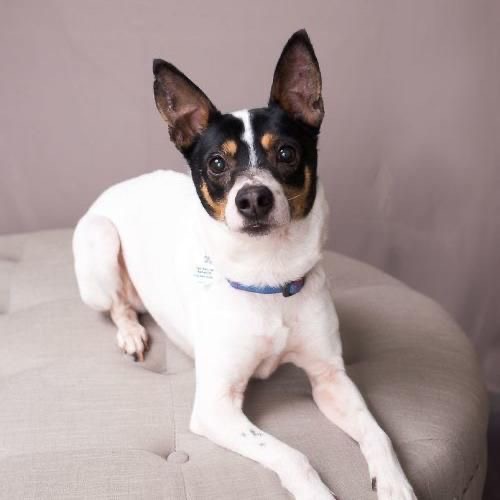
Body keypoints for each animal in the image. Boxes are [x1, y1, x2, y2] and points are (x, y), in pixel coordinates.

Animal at [73, 31, 418, 500]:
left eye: (287, 153)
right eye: (217, 162)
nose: (253, 198)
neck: (268, 275)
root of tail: (118, 186)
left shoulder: (331, 378)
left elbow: (378, 434)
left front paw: (395, 484)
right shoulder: (215, 407)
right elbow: (292, 454)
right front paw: (317, 493)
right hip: (100, 240)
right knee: (117, 306)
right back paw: (131, 333)